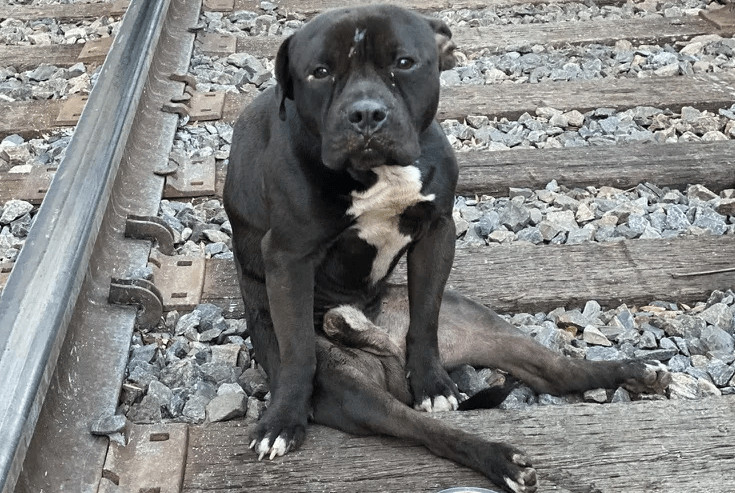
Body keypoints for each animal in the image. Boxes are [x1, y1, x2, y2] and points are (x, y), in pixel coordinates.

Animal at [224, 5, 671, 492]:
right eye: (320, 72)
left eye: (404, 63)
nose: (366, 113)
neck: (380, 172)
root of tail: (377, 335)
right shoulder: (289, 258)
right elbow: (298, 348)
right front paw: (283, 421)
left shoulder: (438, 232)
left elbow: (426, 315)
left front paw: (432, 381)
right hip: (353, 394)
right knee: (423, 427)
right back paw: (502, 459)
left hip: (486, 326)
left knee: (558, 372)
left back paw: (631, 372)